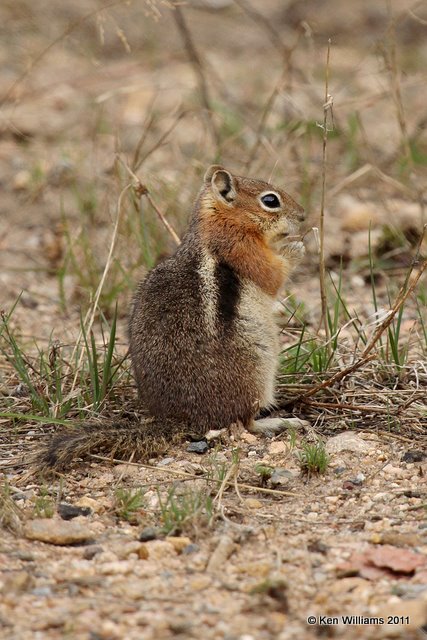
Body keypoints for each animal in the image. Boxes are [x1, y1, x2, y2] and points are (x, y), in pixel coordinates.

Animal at [42, 166, 308, 470]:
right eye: (271, 200)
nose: (303, 215)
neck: (222, 222)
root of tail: (179, 420)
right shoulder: (242, 250)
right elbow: (272, 273)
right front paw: (296, 246)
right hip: (257, 373)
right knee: (243, 422)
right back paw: (281, 422)